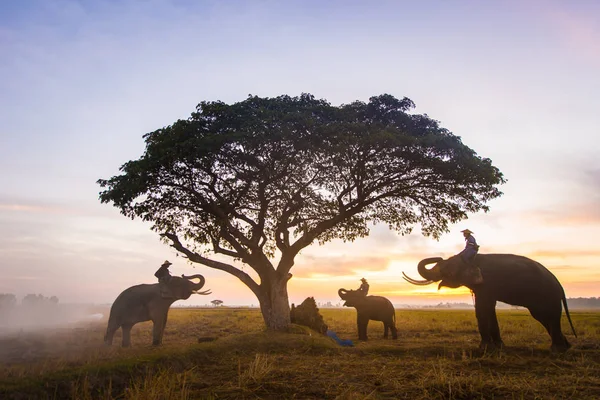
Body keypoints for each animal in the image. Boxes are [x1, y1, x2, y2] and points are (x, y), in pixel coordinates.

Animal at [404, 255, 576, 352]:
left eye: (449, 272)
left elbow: (482, 309)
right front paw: (499, 347)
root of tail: (559, 286)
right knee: (544, 317)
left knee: (549, 316)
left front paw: (484, 348)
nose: (439, 257)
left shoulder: (487, 284)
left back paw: (557, 349)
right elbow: (488, 309)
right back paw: (564, 347)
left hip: (547, 296)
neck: (473, 259)